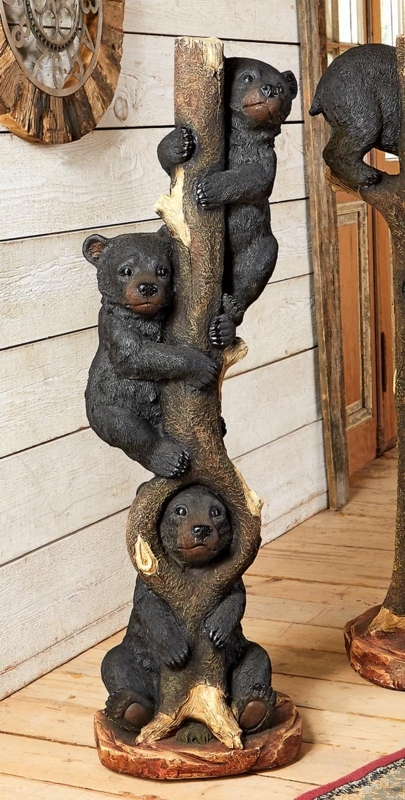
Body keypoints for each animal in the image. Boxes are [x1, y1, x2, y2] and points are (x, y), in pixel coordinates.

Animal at [83, 229, 218, 478]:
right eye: (126, 270)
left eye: (162, 270)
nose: (147, 287)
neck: (144, 319)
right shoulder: (116, 327)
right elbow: (136, 356)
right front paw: (202, 368)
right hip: (106, 407)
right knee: (127, 429)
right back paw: (170, 460)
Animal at [101, 485, 275, 743]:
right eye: (180, 510)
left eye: (216, 511)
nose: (201, 529)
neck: (194, 569)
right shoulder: (149, 580)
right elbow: (149, 608)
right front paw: (176, 650)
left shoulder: (227, 579)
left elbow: (237, 600)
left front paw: (217, 629)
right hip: (137, 657)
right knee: (115, 663)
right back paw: (129, 707)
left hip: (240, 655)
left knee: (257, 659)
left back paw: (255, 706)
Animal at [157, 57, 298, 345]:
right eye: (248, 77)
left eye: (281, 87)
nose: (270, 89)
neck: (240, 138)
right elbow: (167, 162)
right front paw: (178, 141)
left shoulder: (266, 158)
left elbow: (256, 179)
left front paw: (208, 188)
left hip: (257, 243)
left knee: (256, 267)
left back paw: (227, 319)